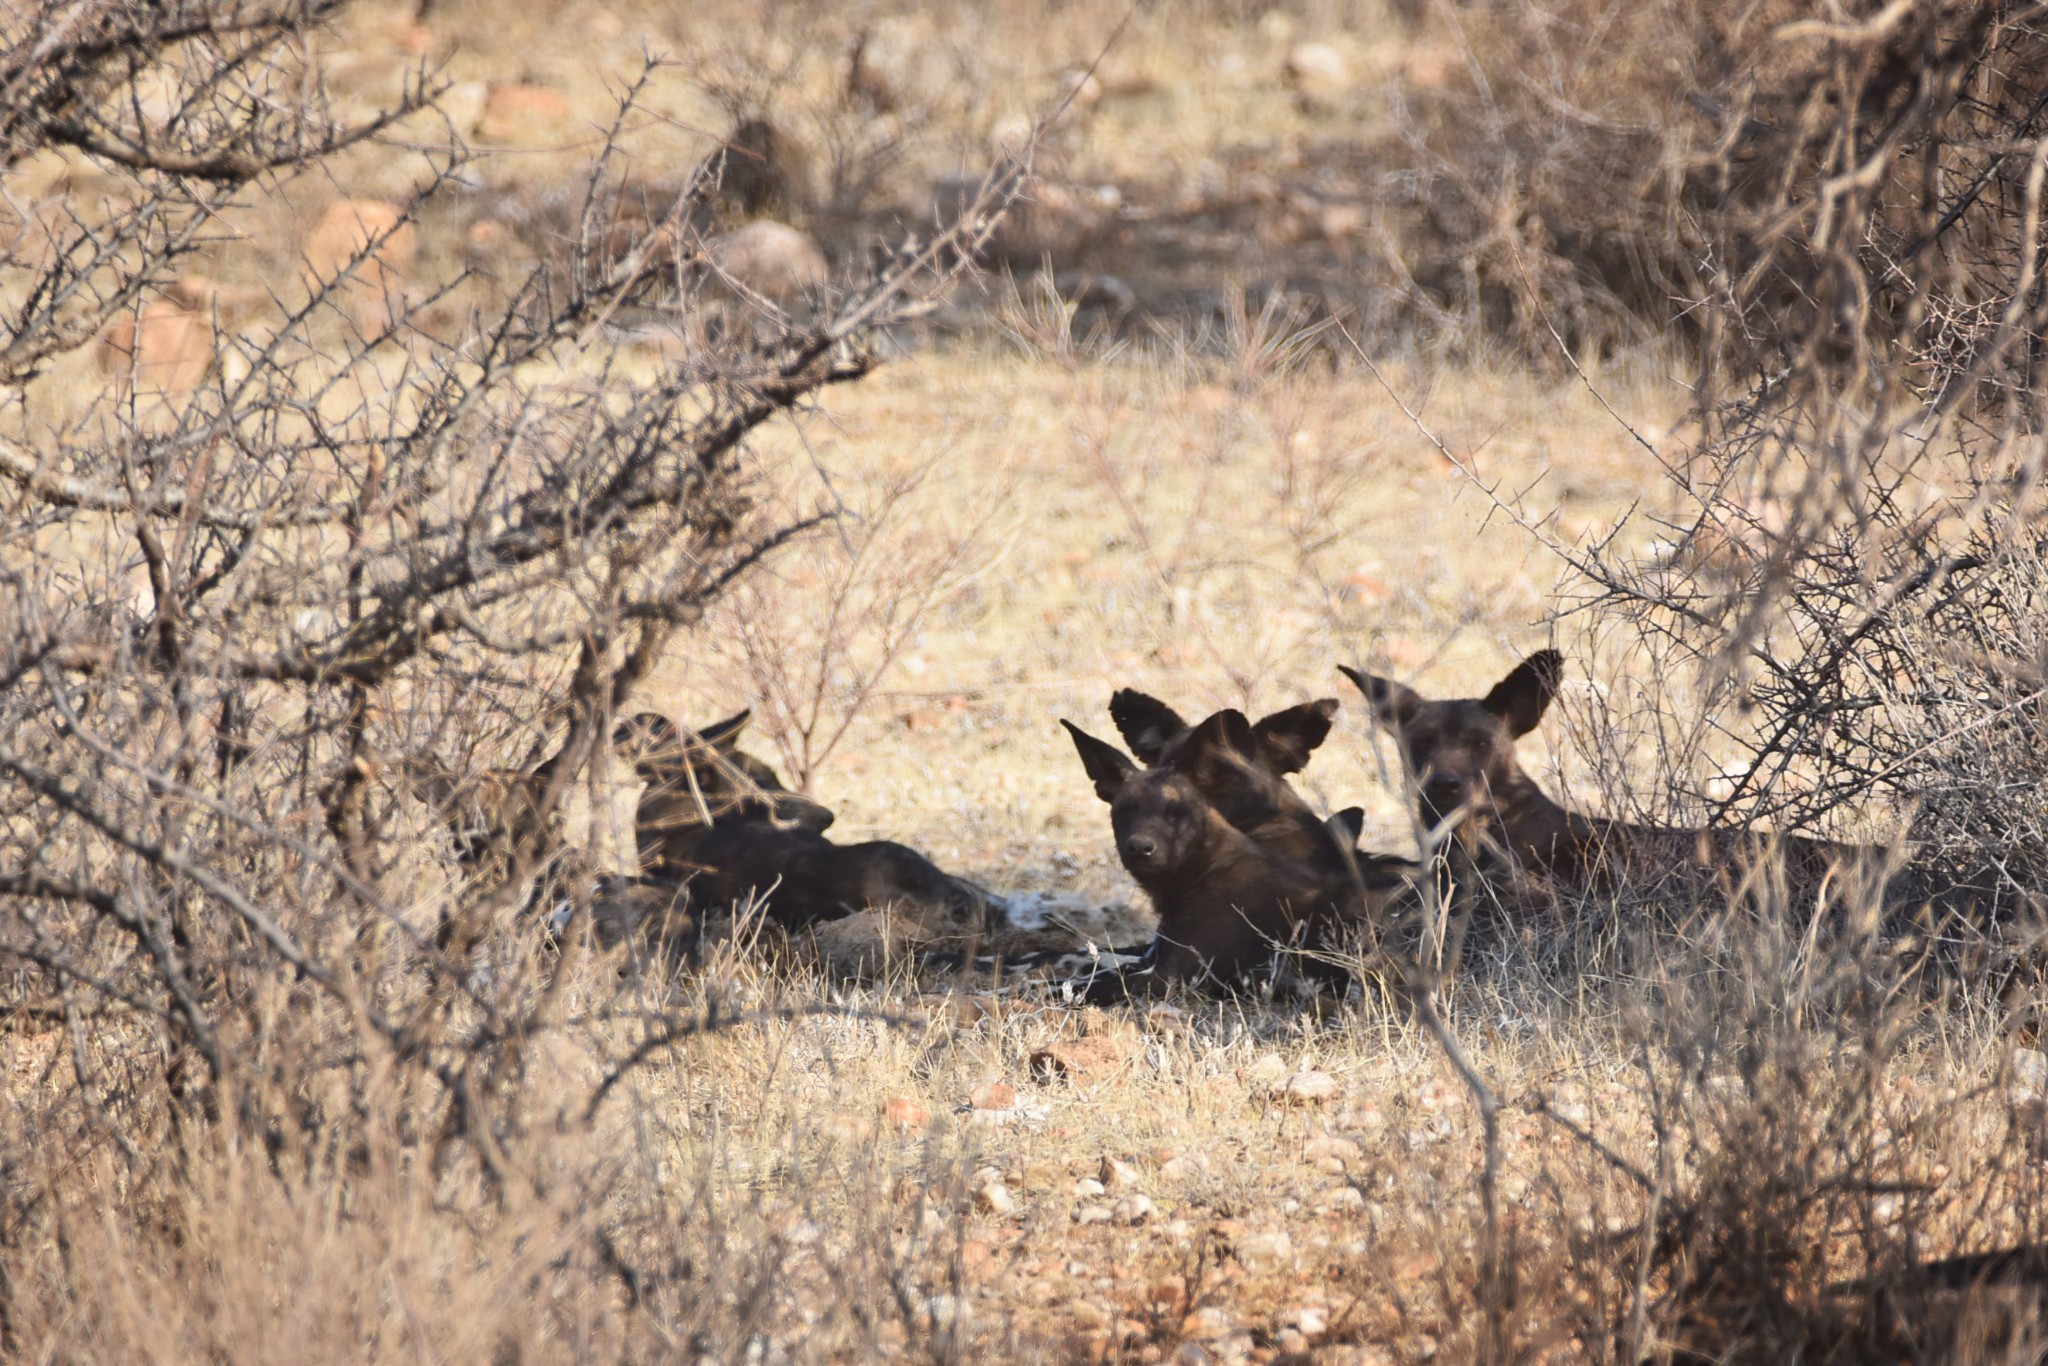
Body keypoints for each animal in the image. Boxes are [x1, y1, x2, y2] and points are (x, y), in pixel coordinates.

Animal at [1056, 712, 1409, 999]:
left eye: (1176, 813)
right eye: (1124, 811)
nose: (1141, 848)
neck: (1204, 869)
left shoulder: (1166, 978)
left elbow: (1071, 987)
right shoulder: (1153, 960)